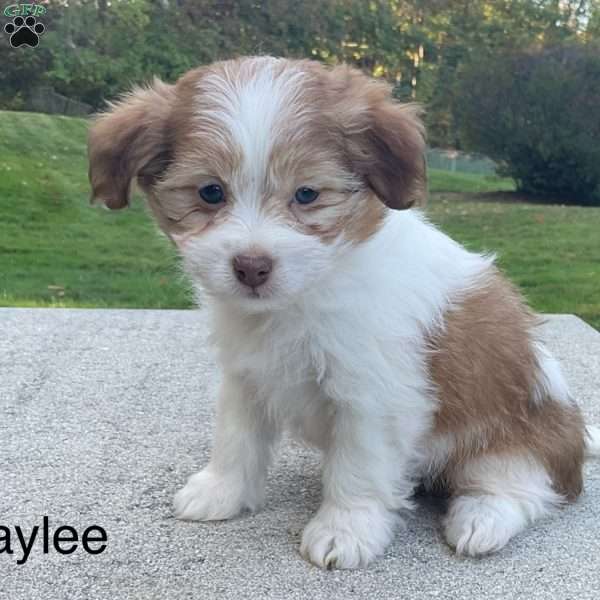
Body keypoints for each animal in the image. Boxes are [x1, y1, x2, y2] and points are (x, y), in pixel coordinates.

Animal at [86, 55, 596, 568]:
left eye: (307, 194)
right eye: (210, 193)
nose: (251, 266)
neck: (308, 293)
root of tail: (575, 434)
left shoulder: (373, 396)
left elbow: (359, 467)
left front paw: (345, 529)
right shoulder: (246, 375)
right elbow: (236, 436)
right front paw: (221, 491)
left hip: (511, 445)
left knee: (521, 489)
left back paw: (480, 520)